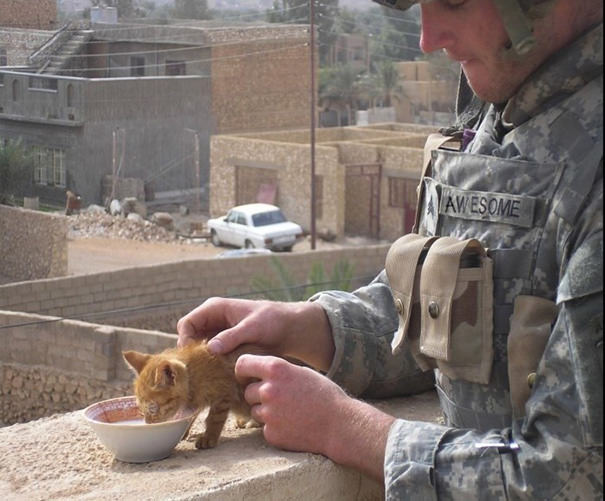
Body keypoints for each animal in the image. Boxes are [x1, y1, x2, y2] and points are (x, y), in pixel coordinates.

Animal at [122, 340, 255, 450]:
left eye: (152, 409)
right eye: (141, 409)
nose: (147, 424)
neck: (194, 376)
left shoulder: (224, 392)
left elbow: (214, 417)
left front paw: (209, 437)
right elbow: (191, 415)